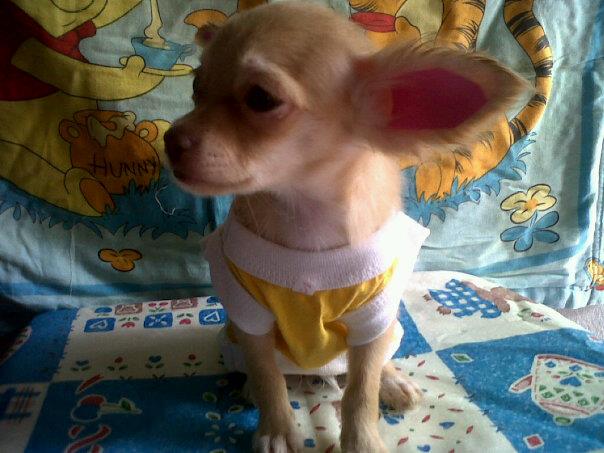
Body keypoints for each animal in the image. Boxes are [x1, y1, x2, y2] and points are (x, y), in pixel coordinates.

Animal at [164, 2, 528, 451]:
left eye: (261, 99)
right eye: (196, 88)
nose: (169, 140)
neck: (306, 215)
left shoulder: (372, 320)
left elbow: (360, 391)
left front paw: (363, 439)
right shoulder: (249, 317)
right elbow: (268, 376)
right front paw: (276, 427)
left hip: (390, 329)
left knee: (366, 368)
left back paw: (393, 382)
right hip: (231, 340)